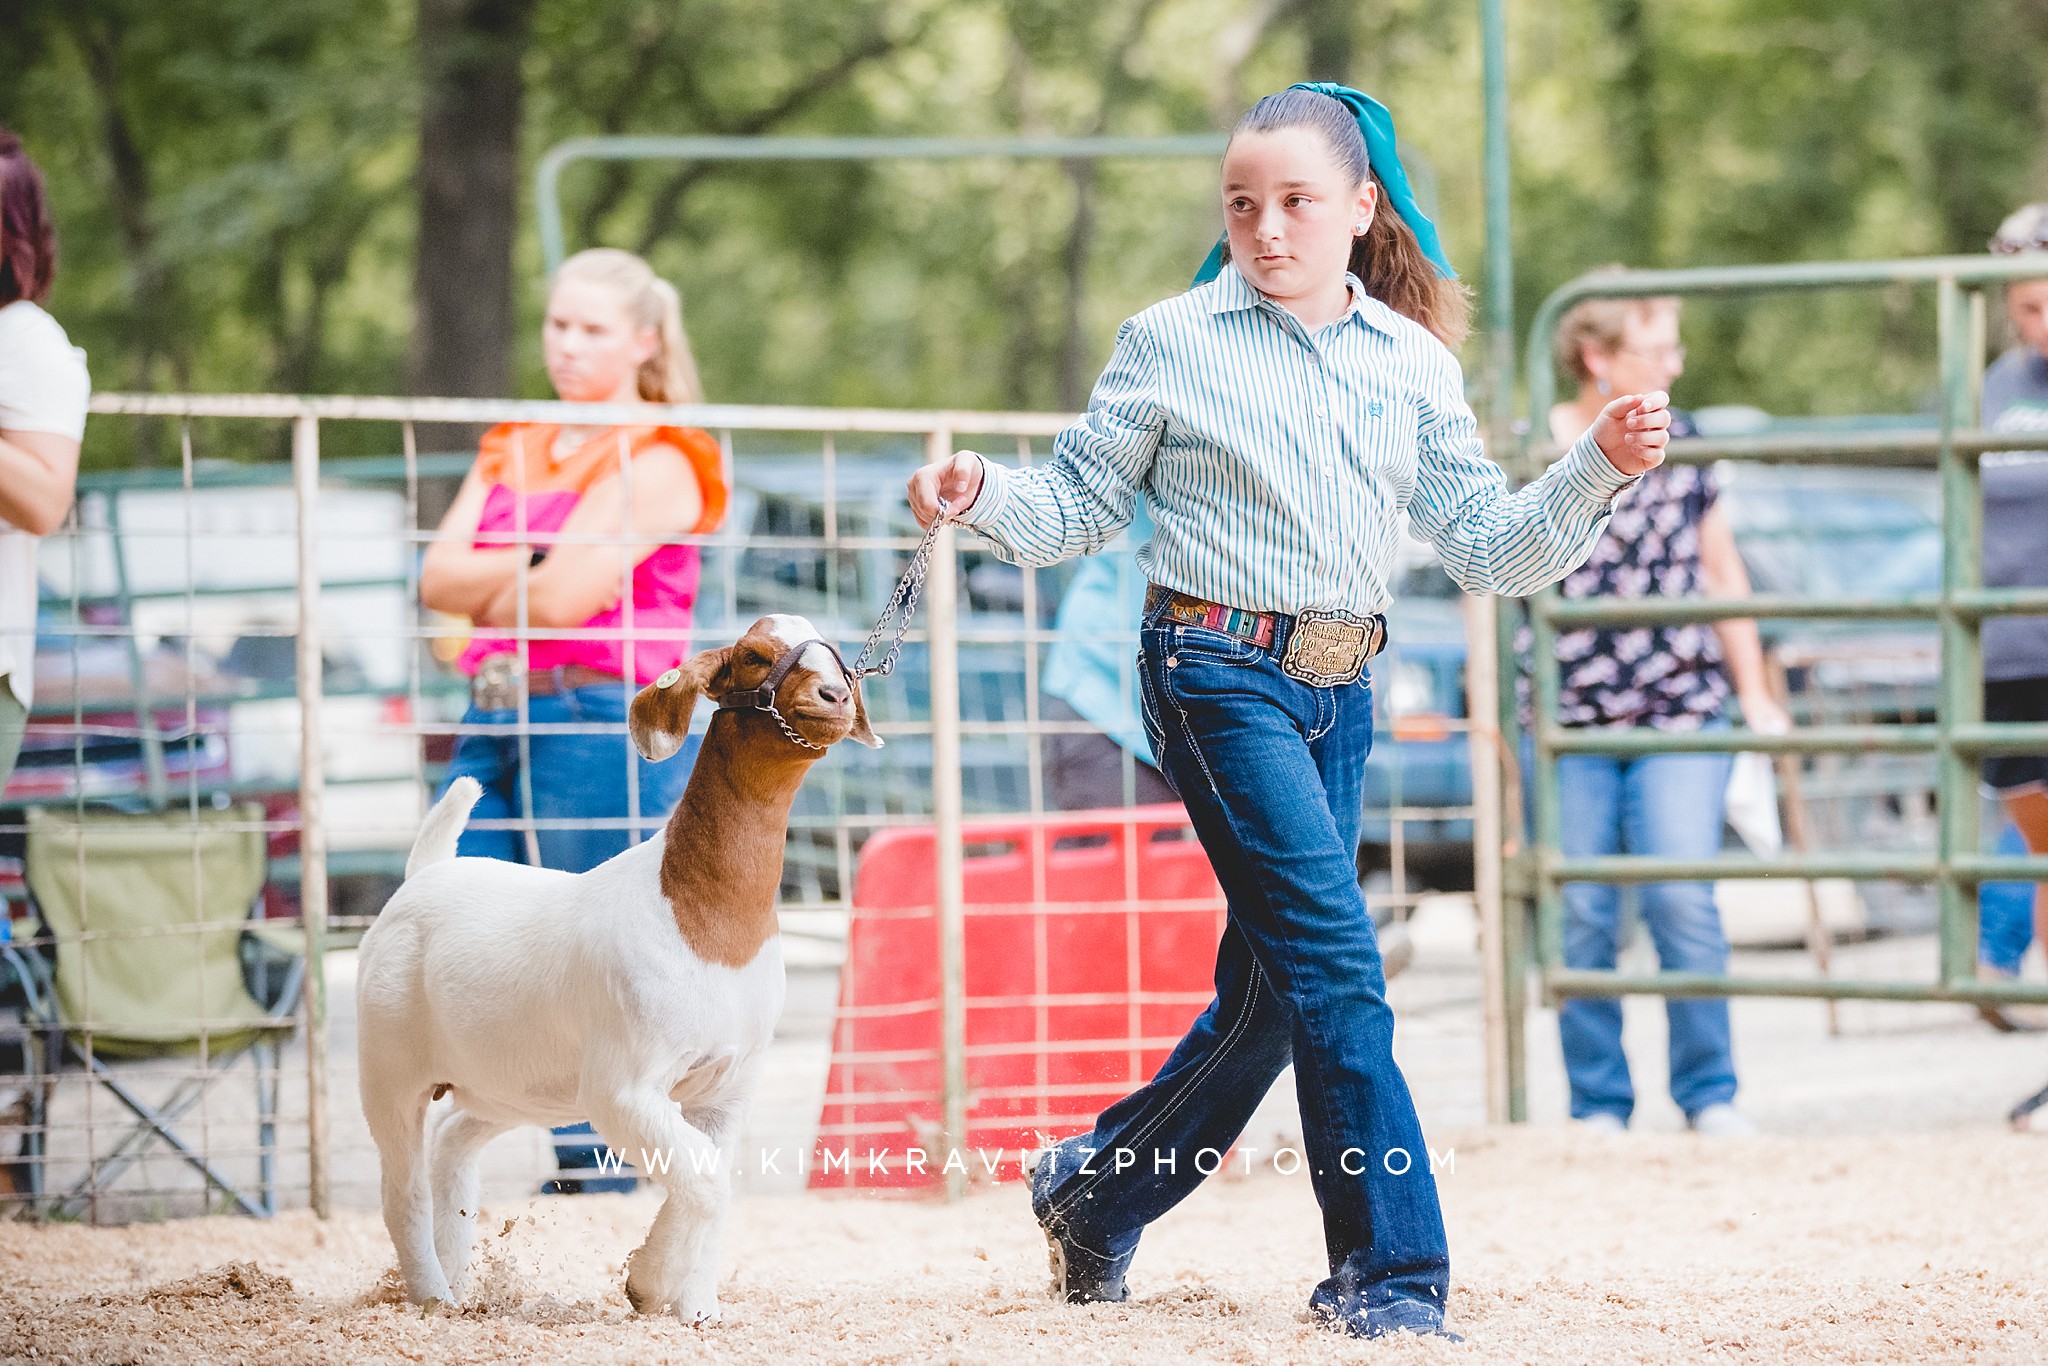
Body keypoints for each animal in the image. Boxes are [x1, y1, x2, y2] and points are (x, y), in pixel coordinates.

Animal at [354, 614, 880, 1318]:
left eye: (839, 658)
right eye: (752, 655)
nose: (834, 697)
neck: (703, 915)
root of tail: (424, 875)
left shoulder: (729, 1087)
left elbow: (712, 1181)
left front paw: (696, 1308)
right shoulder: (623, 1089)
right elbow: (704, 1179)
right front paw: (648, 1285)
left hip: (510, 1082)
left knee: (454, 1141)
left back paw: (462, 1282)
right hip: (391, 1071)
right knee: (401, 1190)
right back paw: (433, 1297)